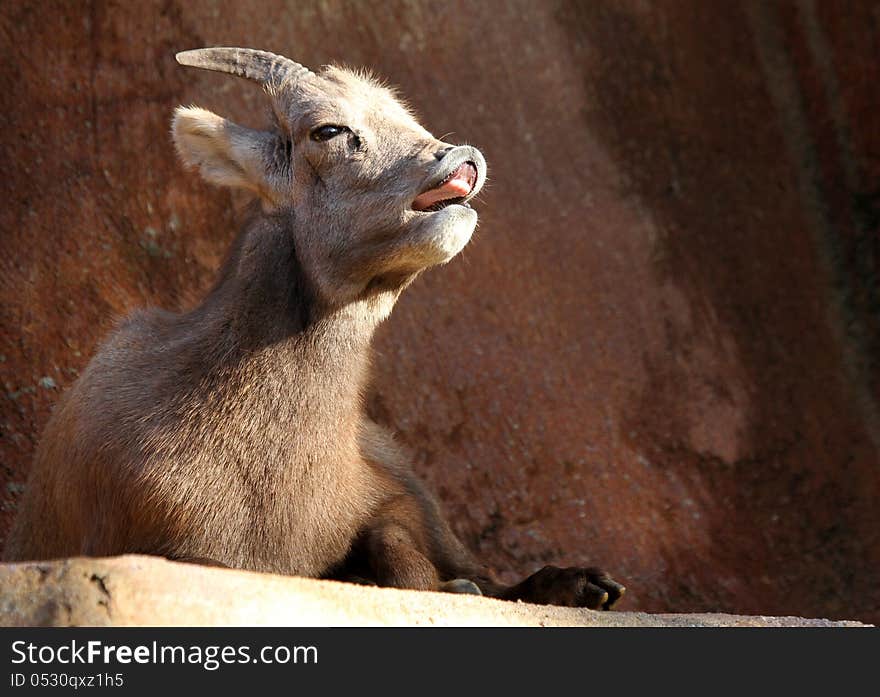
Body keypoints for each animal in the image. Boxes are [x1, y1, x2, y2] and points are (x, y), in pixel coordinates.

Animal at [5, 47, 624, 608]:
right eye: (328, 130)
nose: (462, 160)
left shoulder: (392, 501)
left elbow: (399, 551)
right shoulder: (177, 551)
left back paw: (587, 587)